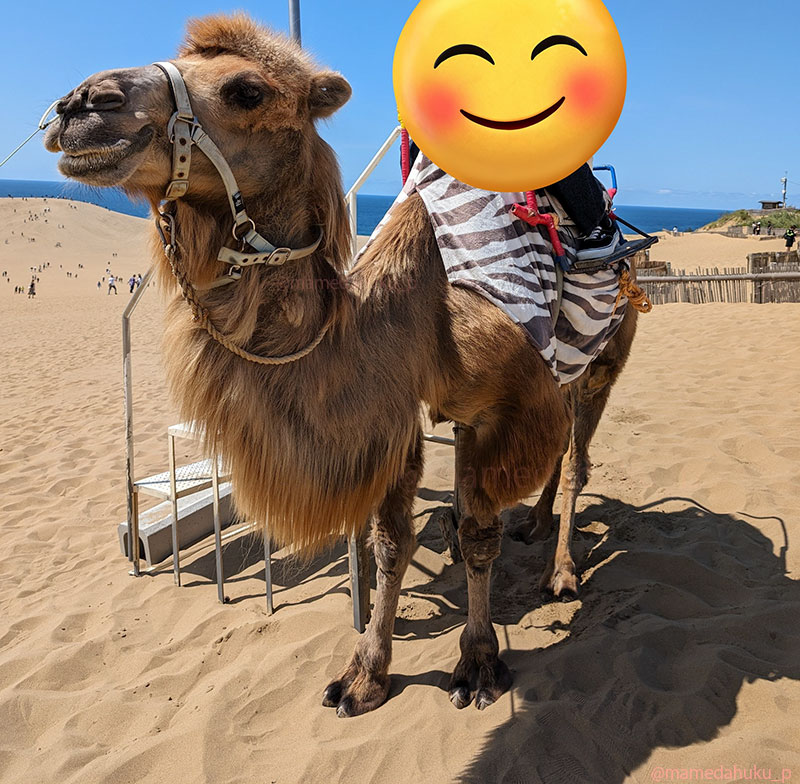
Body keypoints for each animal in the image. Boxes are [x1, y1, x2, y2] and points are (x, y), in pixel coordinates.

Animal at [45, 13, 638, 716]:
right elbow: (392, 543)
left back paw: (563, 572)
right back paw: (538, 526)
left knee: (575, 460)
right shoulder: (396, 416)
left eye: (247, 91)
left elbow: (475, 533)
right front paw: (366, 675)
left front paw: (477, 663)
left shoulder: (502, 409)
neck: (414, 306)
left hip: (601, 361)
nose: (83, 104)